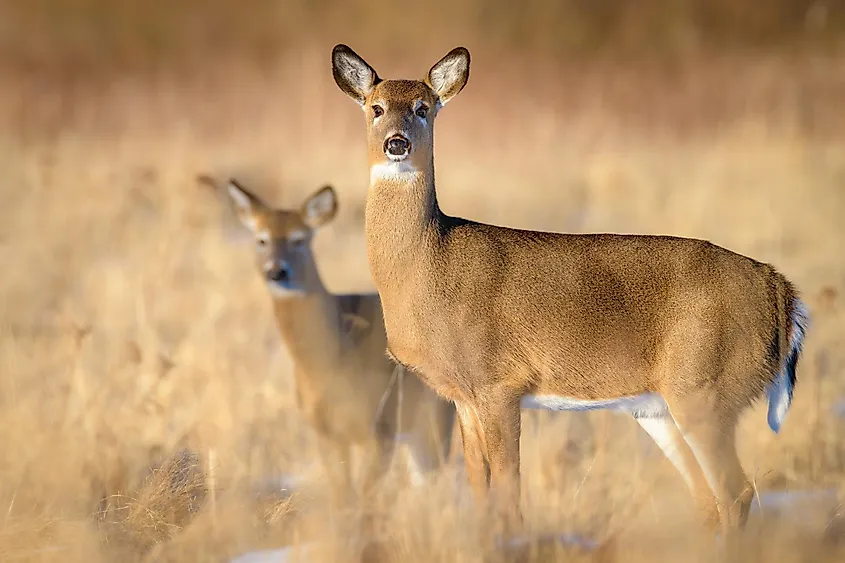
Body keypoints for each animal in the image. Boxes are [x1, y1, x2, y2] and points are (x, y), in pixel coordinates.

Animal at [197, 175, 454, 506]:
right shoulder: (326, 433)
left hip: (435, 418)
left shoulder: (380, 427)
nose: (277, 271)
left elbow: (363, 500)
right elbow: (342, 495)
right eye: (262, 239)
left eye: (299, 239)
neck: (331, 361)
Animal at [332, 43, 812, 532]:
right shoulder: (461, 397)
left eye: (423, 107)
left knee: (736, 493)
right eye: (375, 108)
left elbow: (509, 493)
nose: (397, 143)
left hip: (706, 387)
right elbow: (479, 491)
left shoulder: (500, 381)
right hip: (661, 406)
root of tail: (782, 293)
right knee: (708, 500)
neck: (427, 266)